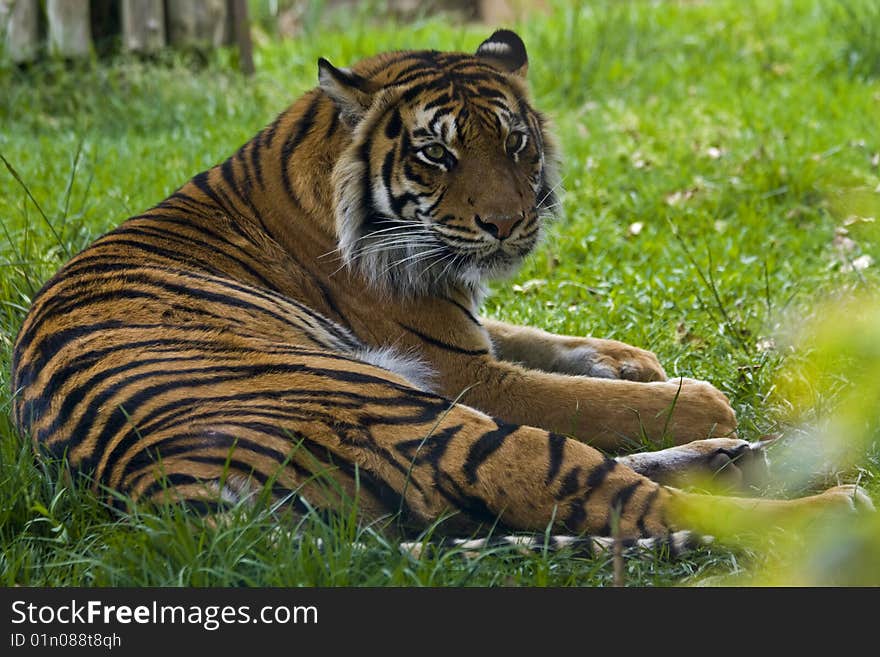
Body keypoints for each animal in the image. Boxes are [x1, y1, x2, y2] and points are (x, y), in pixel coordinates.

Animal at [8, 32, 872, 552]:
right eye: (435, 154)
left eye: (516, 142)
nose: (508, 223)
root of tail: (171, 496)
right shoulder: (462, 368)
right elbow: (581, 397)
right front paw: (696, 397)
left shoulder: (460, 324)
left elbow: (546, 339)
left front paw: (637, 360)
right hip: (426, 417)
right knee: (618, 495)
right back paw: (821, 504)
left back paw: (733, 457)